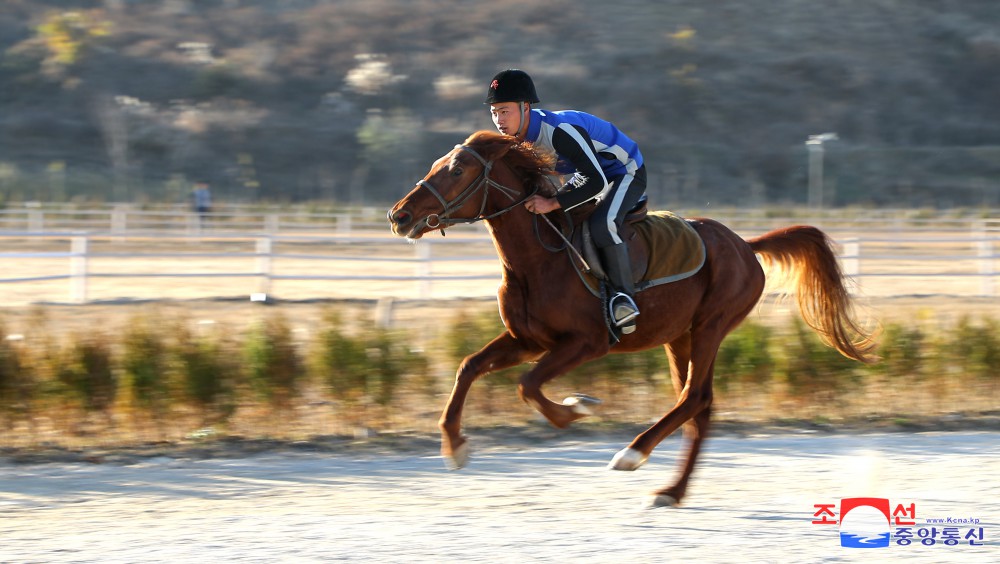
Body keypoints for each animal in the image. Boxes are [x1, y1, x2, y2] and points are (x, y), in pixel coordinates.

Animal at [386, 131, 872, 506]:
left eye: (456, 171)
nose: (399, 215)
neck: (539, 259)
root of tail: (745, 245)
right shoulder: (528, 340)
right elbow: (469, 367)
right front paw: (454, 446)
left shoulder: (585, 342)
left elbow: (528, 385)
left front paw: (576, 407)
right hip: (679, 338)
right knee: (699, 407)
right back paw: (672, 492)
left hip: (711, 326)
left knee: (695, 398)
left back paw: (633, 455)